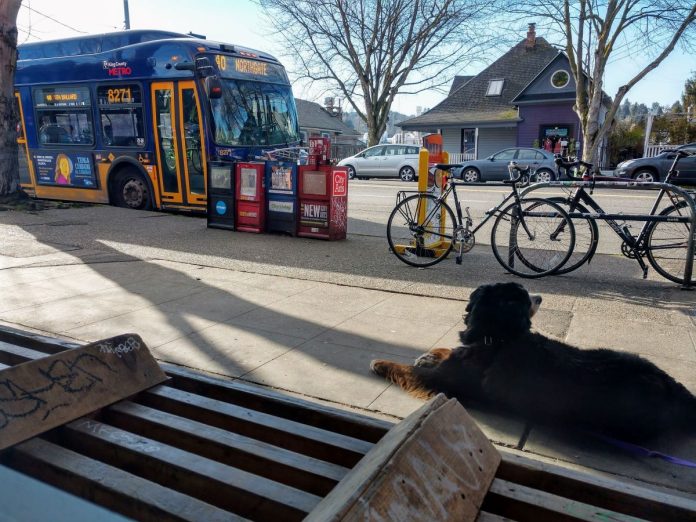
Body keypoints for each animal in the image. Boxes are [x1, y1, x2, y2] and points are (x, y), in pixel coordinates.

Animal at [372, 282, 696, 440]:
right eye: (525, 297)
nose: (541, 296)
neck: (496, 337)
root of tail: (677, 393)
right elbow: (447, 350)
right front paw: (429, 354)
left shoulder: (442, 381)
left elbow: (407, 370)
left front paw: (381, 362)